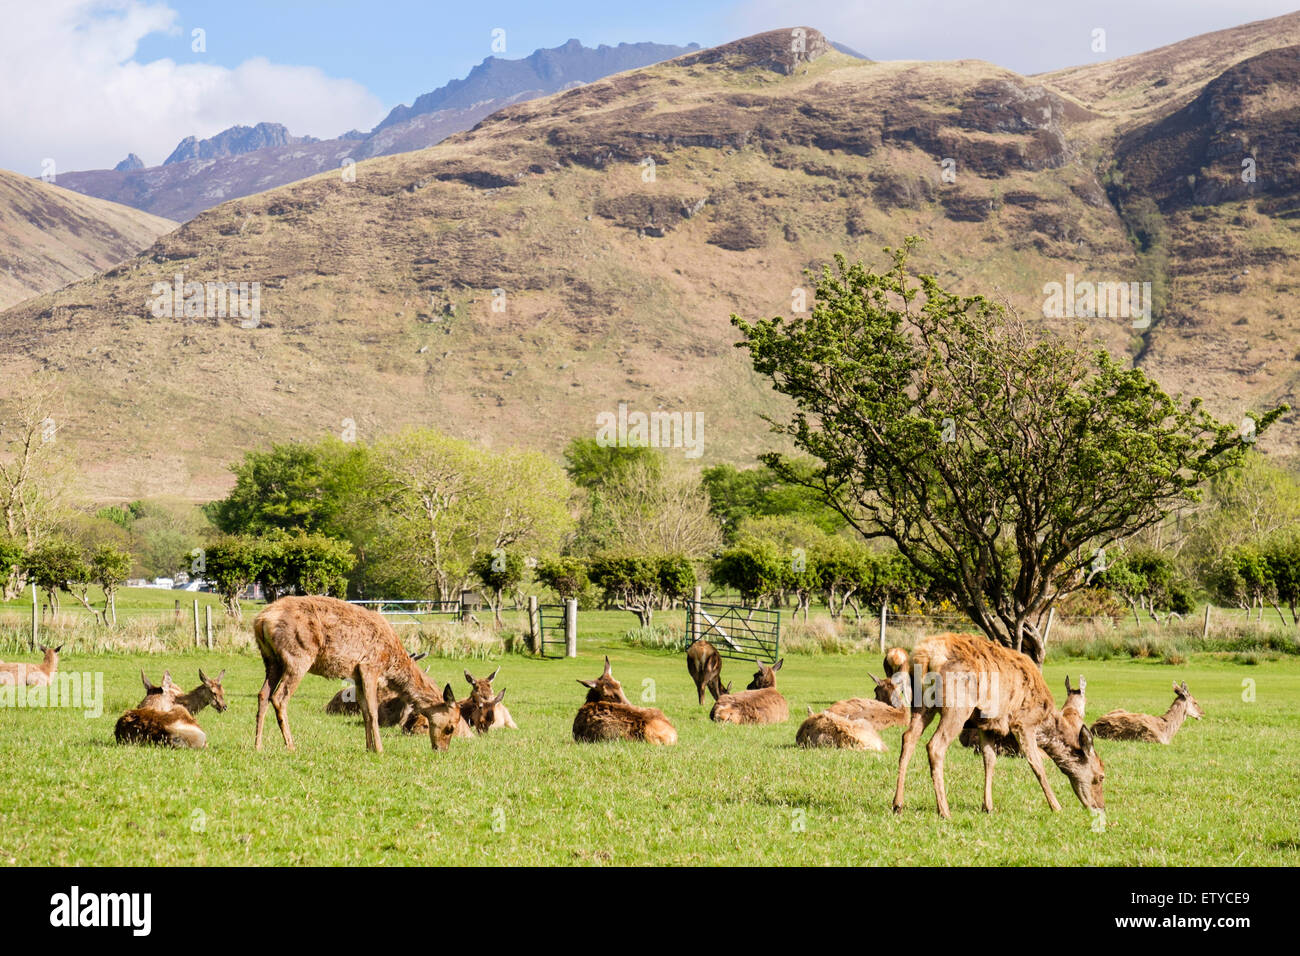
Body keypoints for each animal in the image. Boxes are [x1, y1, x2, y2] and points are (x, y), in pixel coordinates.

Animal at [252, 595, 463, 753]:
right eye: (450, 727)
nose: (441, 750)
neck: (391, 660)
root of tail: (260, 620)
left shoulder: (357, 675)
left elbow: (364, 711)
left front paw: (368, 747)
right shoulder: (370, 666)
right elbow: (373, 711)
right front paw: (380, 749)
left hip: (270, 659)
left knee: (263, 694)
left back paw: (258, 745)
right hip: (298, 656)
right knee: (279, 697)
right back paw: (291, 745)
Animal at [893, 633, 1105, 819]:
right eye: (1101, 776)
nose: (1100, 807)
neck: (1044, 719)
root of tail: (924, 656)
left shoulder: (985, 723)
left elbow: (989, 759)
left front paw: (988, 806)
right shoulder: (1024, 722)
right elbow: (1037, 764)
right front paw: (1056, 807)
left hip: (921, 704)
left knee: (908, 737)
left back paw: (898, 804)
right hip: (957, 705)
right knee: (935, 746)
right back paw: (944, 811)